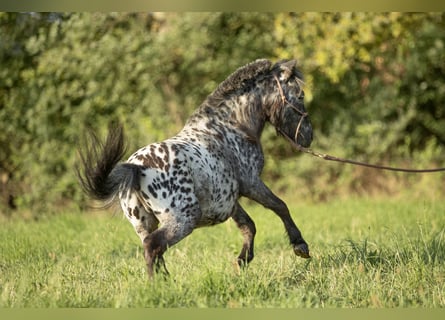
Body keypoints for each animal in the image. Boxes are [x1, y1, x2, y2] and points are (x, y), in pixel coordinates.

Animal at [76, 58, 312, 278]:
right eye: (300, 96)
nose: (308, 136)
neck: (231, 127)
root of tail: (135, 168)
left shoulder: (230, 198)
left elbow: (248, 225)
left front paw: (242, 261)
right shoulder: (251, 183)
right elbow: (279, 206)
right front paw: (300, 246)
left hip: (145, 224)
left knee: (152, 248)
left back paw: (166, 281)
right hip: (182, 220)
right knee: (153, 246)